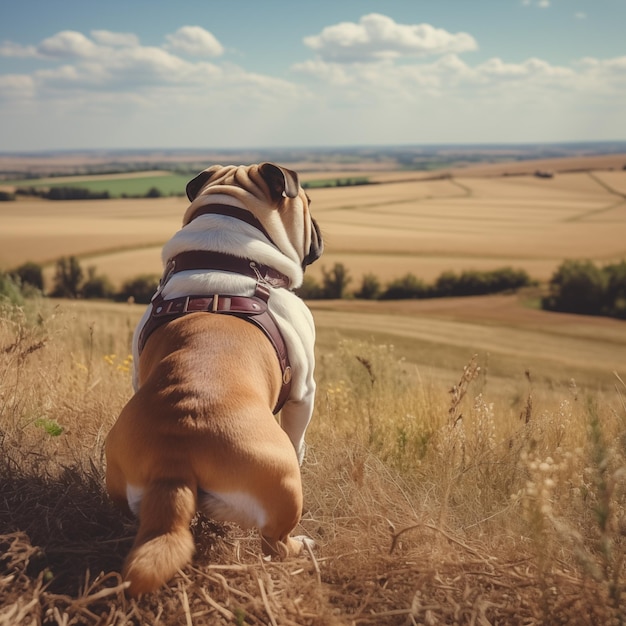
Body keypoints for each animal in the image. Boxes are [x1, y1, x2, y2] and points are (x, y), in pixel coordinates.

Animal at [103, 162, 322, 596]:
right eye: (309, 201)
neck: (223, 256)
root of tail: (174, 456)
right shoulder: (304, 392)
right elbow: (298, 437)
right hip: (284, 487)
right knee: (275, 543)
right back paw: (301, 546)